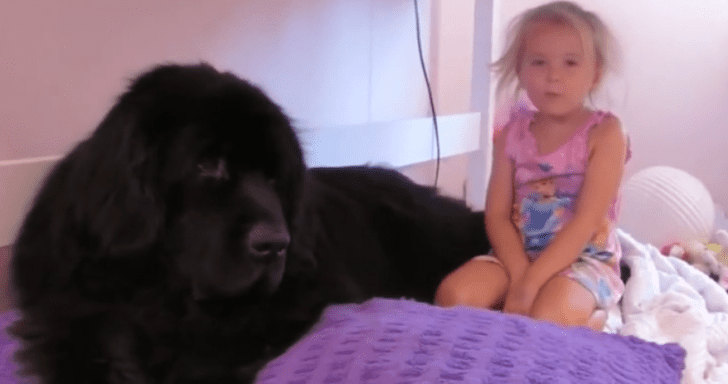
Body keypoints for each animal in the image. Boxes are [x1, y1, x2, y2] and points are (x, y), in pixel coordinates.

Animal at [9, 63, 490, 384]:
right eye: (207, 165)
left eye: (274, 177)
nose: (275, 243)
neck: (166, 293)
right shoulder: (65, 306)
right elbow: (89, 339)